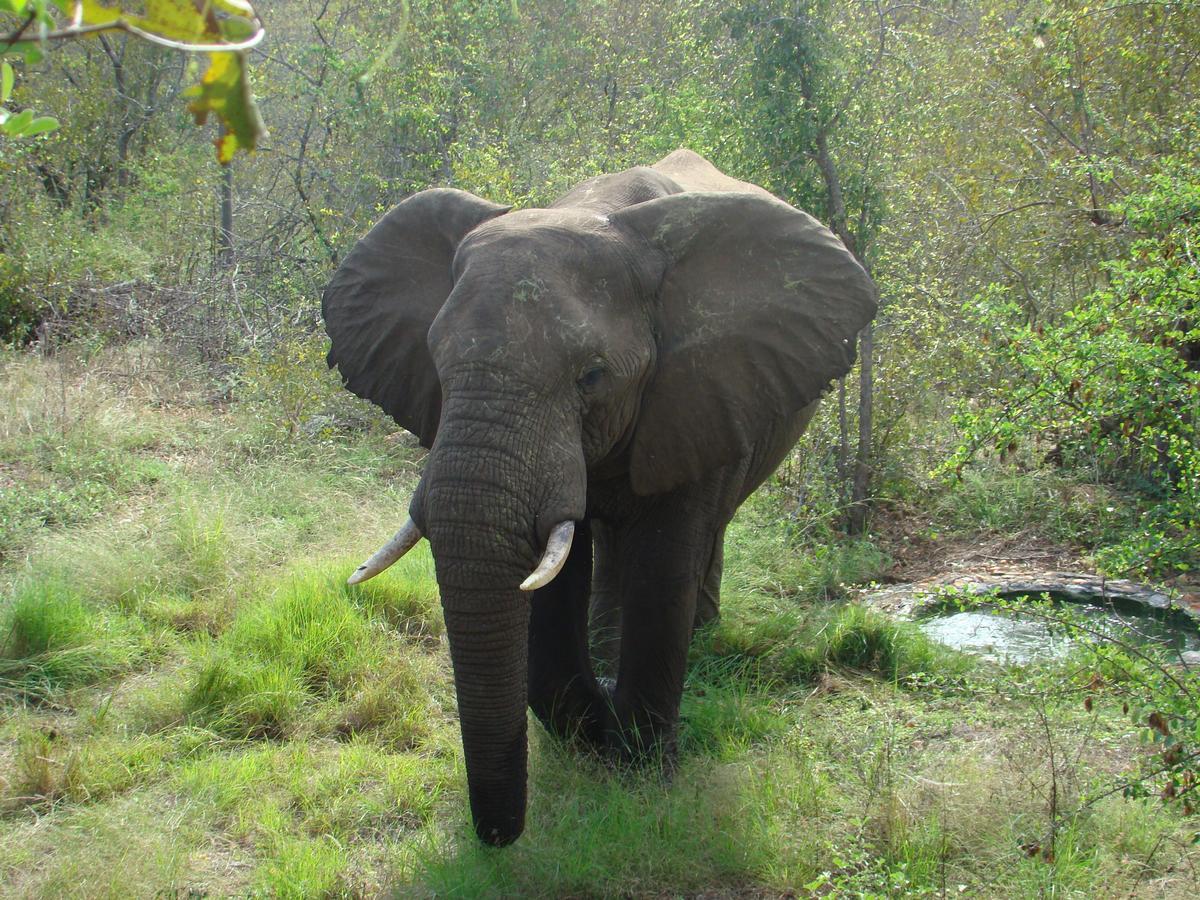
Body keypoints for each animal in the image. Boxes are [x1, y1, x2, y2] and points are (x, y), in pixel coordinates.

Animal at [324, 148, 878, 844]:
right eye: (435, 364)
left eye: (592, 376)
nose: (497, 841)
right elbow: (557, 566)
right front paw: (595, 730)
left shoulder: (696, 390)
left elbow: (665, 558)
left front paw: (641, 773)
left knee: (710, 528)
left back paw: (698, 630)